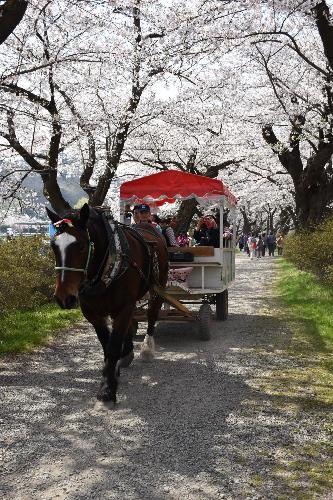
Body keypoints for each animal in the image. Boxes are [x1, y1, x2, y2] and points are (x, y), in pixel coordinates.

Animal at [46, 203, 169, 402]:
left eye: (81, 246)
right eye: (53, 246)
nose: (64, 298)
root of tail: (149, 227)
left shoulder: (124, 306)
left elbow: (113, 346)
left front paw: (107, 389)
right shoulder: (91, 311)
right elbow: (106, 343)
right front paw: (111, 373)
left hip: (158, 285)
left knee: (152, 314)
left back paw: (147, 349)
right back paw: (127, 352)